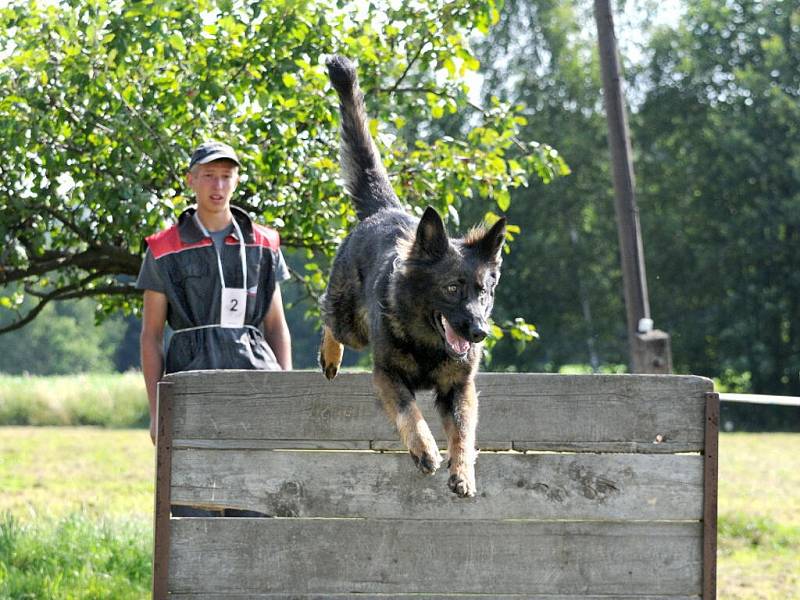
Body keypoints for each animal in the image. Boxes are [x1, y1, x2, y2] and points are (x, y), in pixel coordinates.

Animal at [318, 56, 506, 496]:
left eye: (484, 292)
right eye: (452, 288)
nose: (479, 333)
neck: (429, 343)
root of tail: (383, 210)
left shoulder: (459, 389)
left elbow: (463, 432)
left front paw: (462, 470)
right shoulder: (387, 376)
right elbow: (409, 412)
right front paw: (425, 451)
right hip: (351, 323)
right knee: (329, 318)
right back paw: (330, 356)